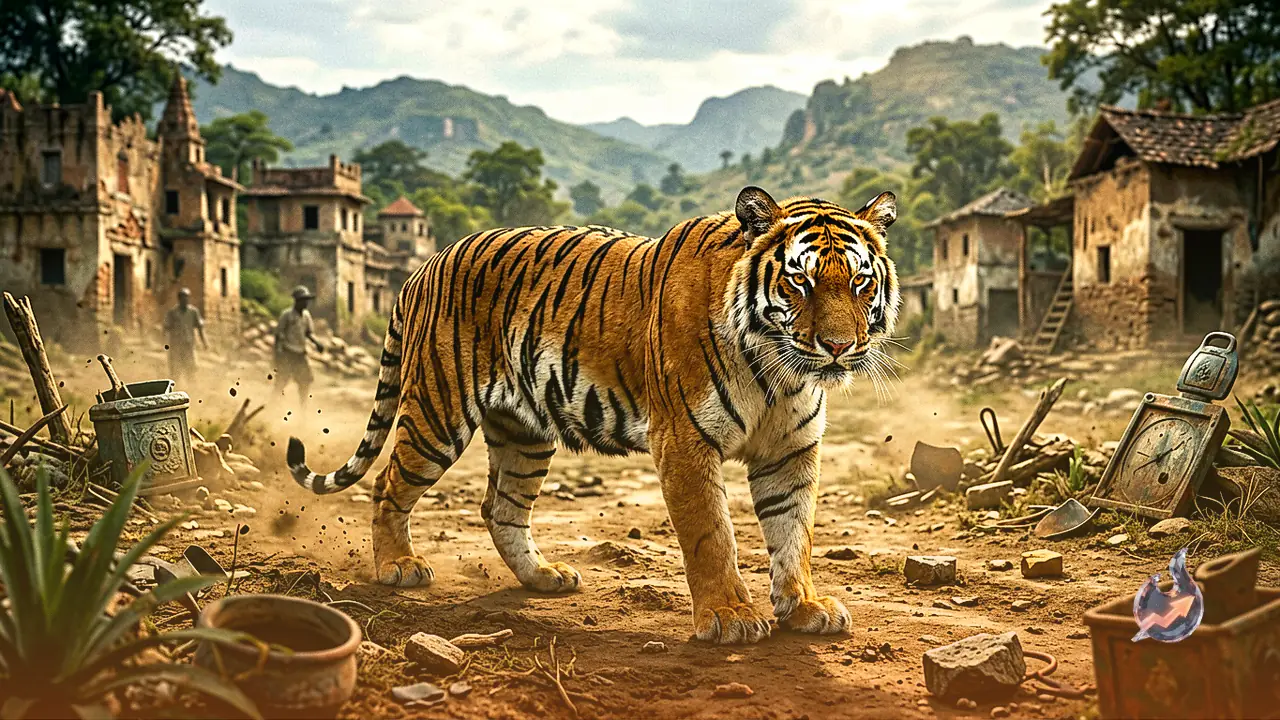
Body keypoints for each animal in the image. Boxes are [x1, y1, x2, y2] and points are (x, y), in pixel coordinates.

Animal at [286, 186, 900, 644]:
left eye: (860, 281)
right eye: (800, 280)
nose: (839, 346)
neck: (779, 373)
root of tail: (424, 265)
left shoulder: (790, 450)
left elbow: (794, 533)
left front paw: (804, 607)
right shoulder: (685, 441)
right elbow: (712, 535)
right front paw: (728, 617)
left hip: (524, 432)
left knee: (501, 507)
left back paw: (543, 577)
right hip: (437, 412)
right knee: (388, 483)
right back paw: (398, 566)